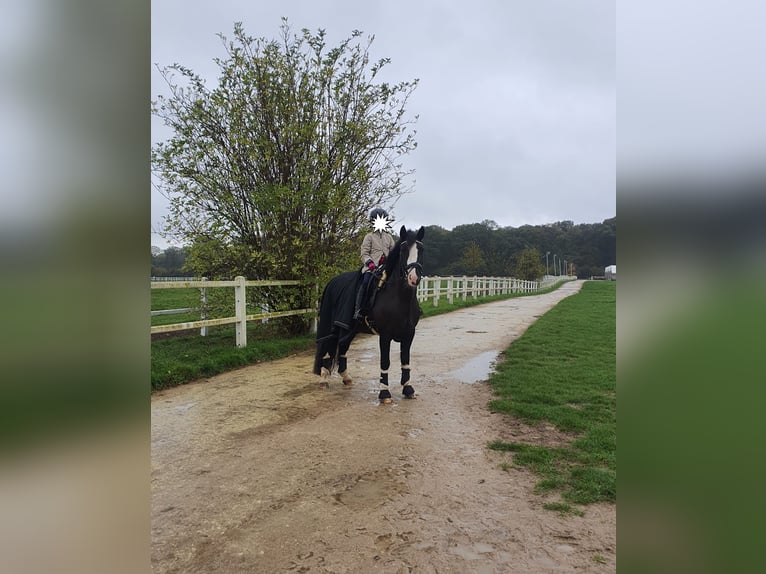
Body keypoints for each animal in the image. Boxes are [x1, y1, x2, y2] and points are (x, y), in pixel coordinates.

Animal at [316, 225, 428, 404]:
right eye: (403, 250)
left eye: (421, 249)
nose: (413, 278)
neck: (398, 298)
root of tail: (333, 281)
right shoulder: (385, 335)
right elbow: (385, 362)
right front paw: (384, 393)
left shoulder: (409, 334)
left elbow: (405, 360)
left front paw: (408, 389)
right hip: (334, 326)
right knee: (330, 346)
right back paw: (324, 379)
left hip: (350, 329)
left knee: (343, 347)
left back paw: (346, 377)